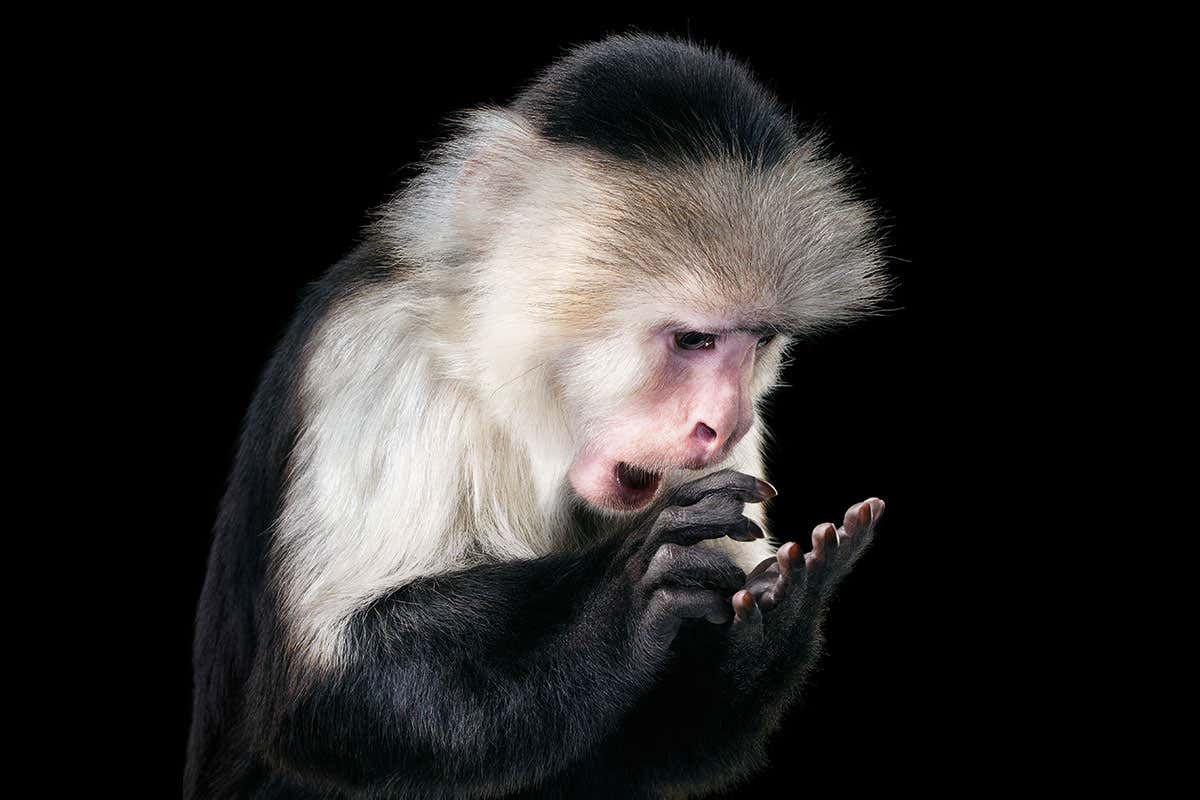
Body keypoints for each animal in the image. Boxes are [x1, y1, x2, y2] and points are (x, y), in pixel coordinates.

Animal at [185, 33, 889, 799]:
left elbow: (649, 748)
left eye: (757, 341)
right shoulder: (379, 356)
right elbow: (325, 696)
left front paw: (779, 613)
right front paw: (624, 603)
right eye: (693, 340)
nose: (722, 425)